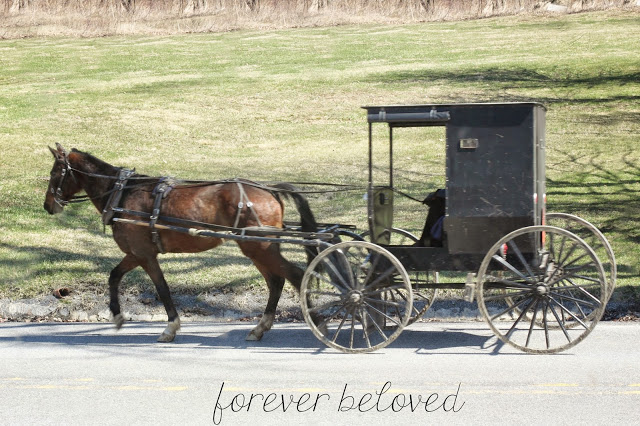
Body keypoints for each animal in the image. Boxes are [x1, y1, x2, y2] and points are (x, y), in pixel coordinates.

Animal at [43, 143, 318, 343]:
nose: (48, 206)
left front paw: (170, 328)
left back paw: (315, 320)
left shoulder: (143, 254)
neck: (122, 193)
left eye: (55, 173)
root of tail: (269, 189)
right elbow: (114, 276)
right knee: (276, 281)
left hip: (259, 247)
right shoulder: (135, 254)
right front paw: (118, 316)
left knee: (296, 275)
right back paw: (261, 328)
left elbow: (162, 289)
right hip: (257, 248)